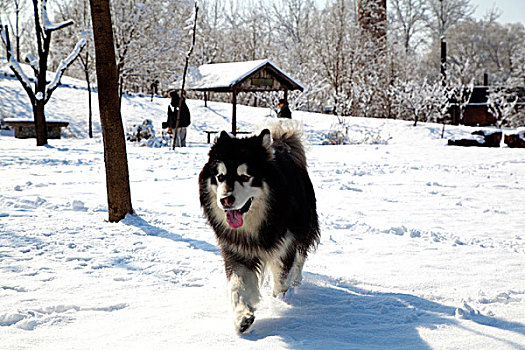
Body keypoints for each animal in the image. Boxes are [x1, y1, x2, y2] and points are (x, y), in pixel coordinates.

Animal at [198, 123, 318, 334]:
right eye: (220, 176)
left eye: (245, 176)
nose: (225, 200)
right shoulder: (236, 250)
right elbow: (237, 285)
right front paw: (242, 317)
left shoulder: (285, 246)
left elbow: (281, 279)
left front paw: (279, 302)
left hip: (305, 227)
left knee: (300, 257)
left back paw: (296, 280)